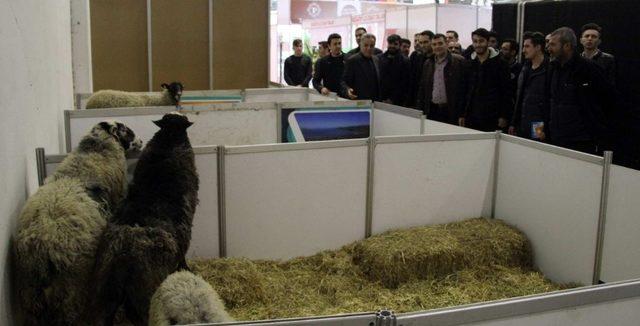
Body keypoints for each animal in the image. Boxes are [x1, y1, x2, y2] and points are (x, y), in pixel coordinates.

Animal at [87, 112, 198, 326]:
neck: (168, 144)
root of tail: (121, 255)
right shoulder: (185, 233)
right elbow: (183, 257)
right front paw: (187, 270)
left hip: (104, 294)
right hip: (145, 292)